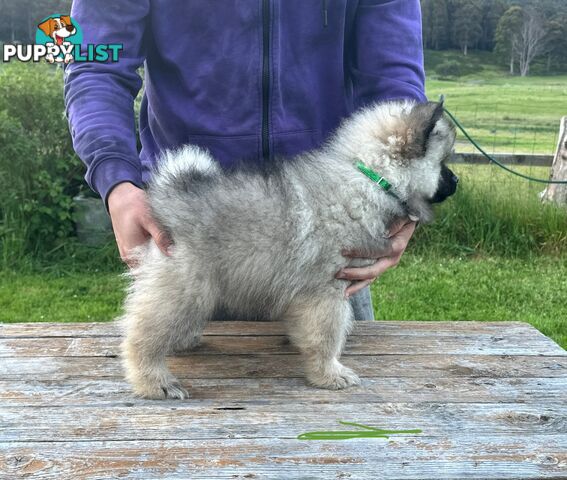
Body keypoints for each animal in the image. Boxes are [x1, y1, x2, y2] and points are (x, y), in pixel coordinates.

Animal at [120, 100, 458, 398]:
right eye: (443, 162)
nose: (456, 181)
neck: (369, 177)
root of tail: (170, 199)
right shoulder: (326, 290)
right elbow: (327, 336)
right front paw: (329, 373)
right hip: (185, 287)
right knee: (140, 335)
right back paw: (154, 381)